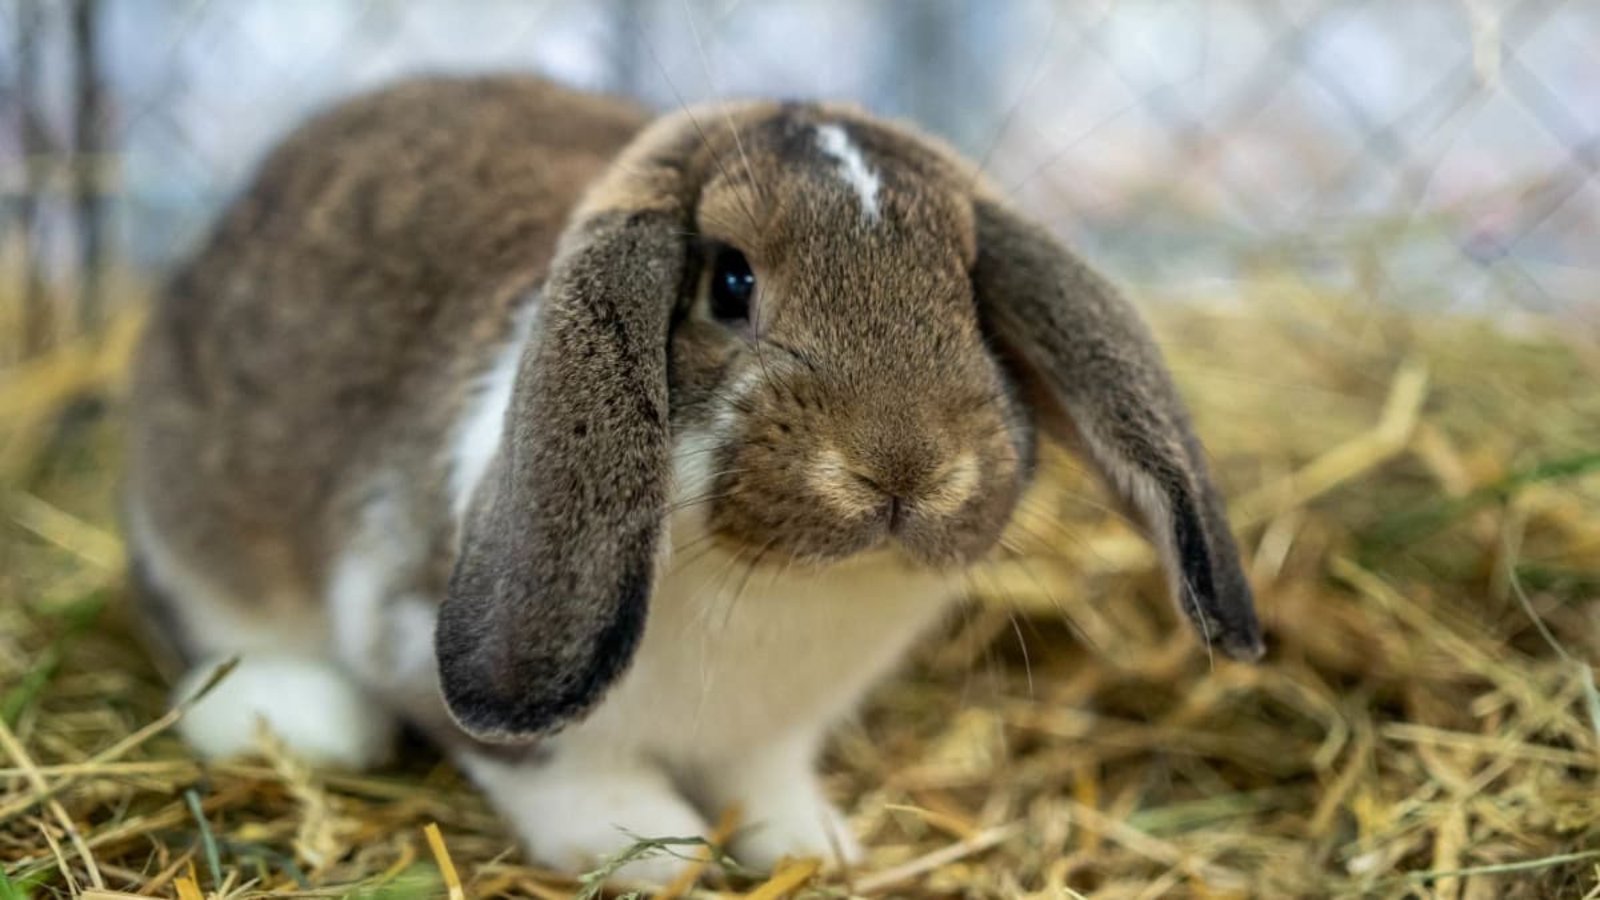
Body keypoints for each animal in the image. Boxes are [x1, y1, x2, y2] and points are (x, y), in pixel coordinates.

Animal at [124, 74, 1264, 885]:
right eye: (729, 281)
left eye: (970, 296)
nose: (905, 468)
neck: (778, 584)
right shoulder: (412, 626)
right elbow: (558, 769)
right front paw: (657, 850)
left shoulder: (775, 733)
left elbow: (765, 784)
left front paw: (812, 846)